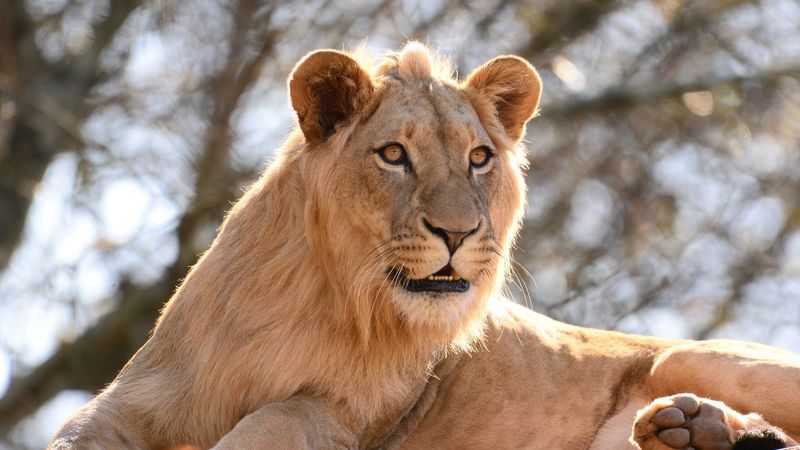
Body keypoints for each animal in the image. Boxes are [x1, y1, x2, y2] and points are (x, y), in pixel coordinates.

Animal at [50, 42, 799, 450]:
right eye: (393, 155)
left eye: (478, 158)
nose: (458, 233)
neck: (317, 299)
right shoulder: (133, 402)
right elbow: (76, 433)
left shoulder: (351, 418)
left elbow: (277, 418)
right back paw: (699, 431)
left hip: (686, 353)